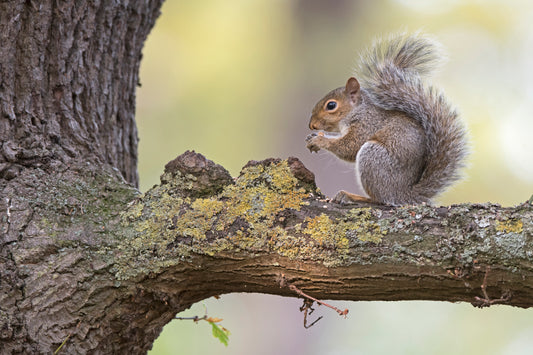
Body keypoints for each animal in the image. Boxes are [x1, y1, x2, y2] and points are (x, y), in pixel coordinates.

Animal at [306, 33, 468, 206]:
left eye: (331, 105)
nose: (312, 125)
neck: (358, 112)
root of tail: (404, 195)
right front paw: (313, 138)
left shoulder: (367, 125)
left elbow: (349, 147)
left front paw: (319, 140)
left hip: (373, 158)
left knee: (380, 199)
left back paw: (353, 196)